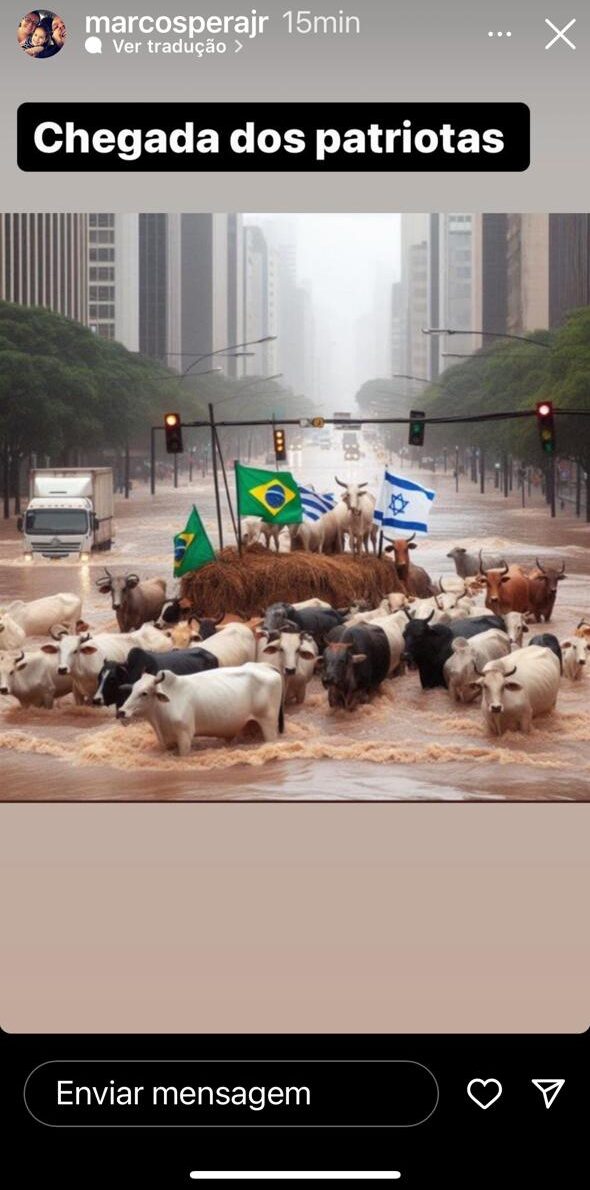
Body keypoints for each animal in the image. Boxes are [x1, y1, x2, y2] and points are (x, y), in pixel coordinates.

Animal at [116, 666, 284, 756]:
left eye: (144, 693)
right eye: (132, 689)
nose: (121, 712)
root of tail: (267, 667)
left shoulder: (185, 736)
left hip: (268, 723)